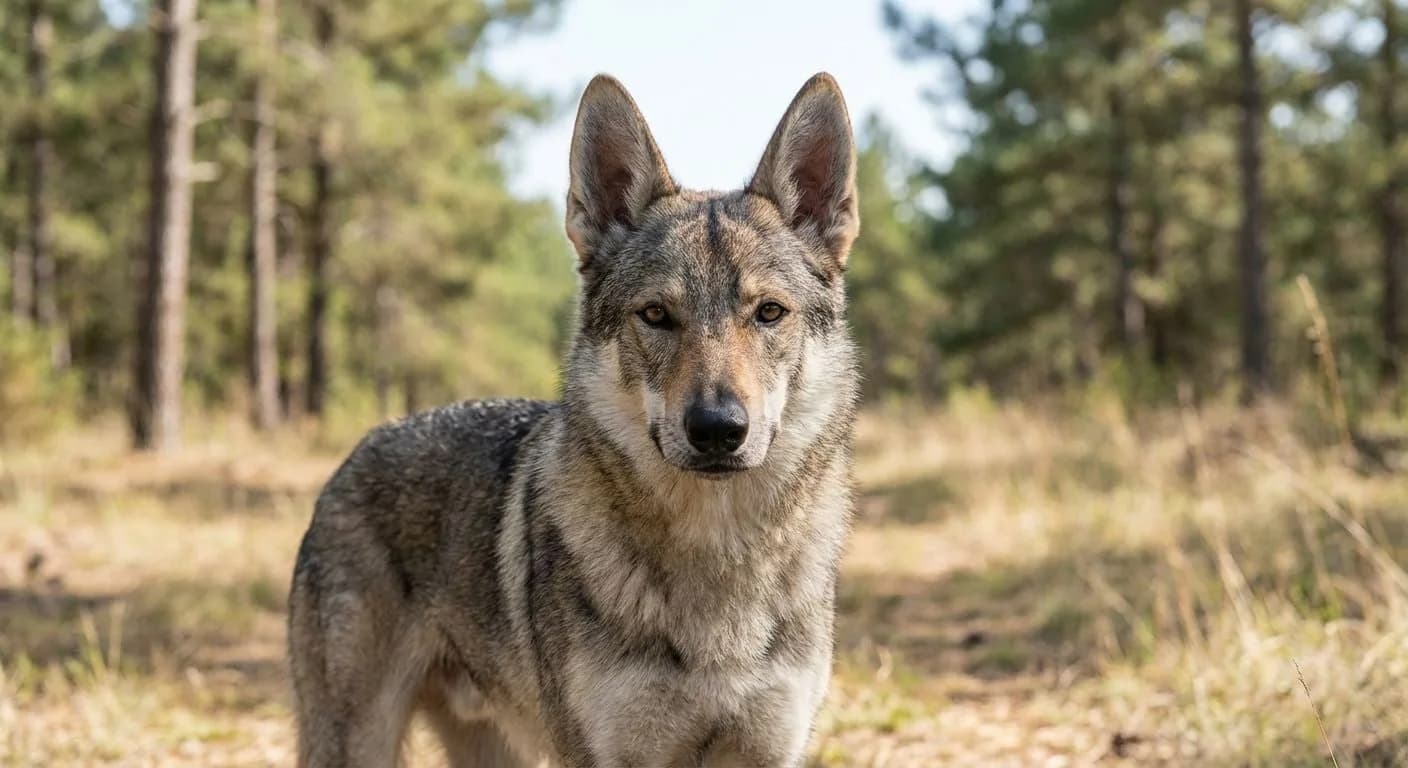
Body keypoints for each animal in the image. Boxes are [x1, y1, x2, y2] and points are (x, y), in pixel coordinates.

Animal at [287, 71, 861, 767]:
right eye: (656, 315)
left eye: (769, 312)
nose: (718, 429)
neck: (716, 557)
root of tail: (357, 451)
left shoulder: (770, 750)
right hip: (358, 742)